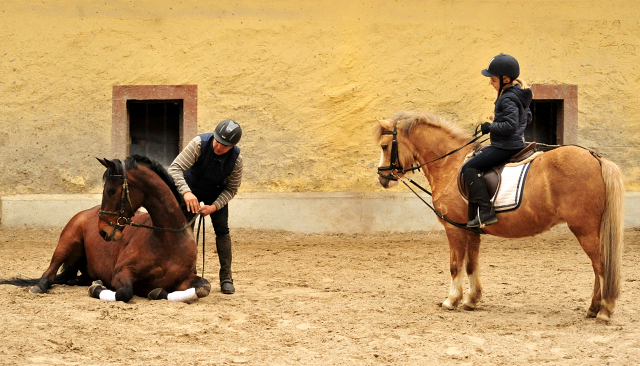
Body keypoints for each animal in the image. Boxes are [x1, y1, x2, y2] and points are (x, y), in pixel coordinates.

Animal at [376, 110, 624, 322]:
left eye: (385, 146)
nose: (382, 178)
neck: (450, 164)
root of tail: (596, 157)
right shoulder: (471, 230)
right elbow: (471, 265)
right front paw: (471, 300)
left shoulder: (454, 229)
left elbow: (455, 265)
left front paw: (451, 300)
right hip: (591, 230)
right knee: (597, 268)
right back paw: (593, 308)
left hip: (584, 229)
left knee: (600, 265)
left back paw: (604, 311)